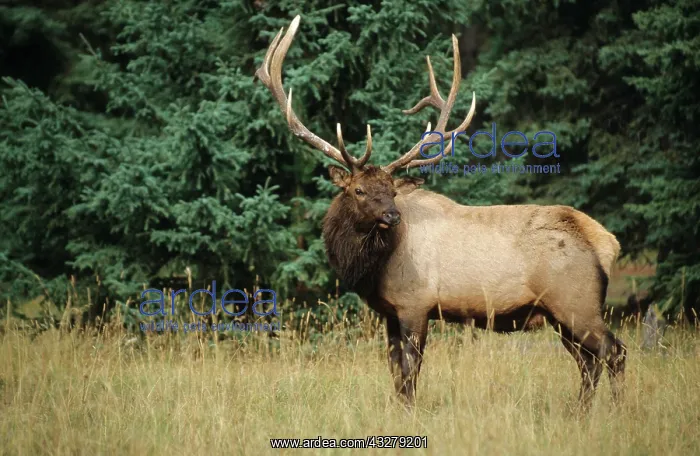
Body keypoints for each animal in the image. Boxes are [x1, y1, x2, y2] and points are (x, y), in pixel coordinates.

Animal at [254, 15, 627, 410]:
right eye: (359, 190)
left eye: (392, 191)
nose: (392, 217)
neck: (372, 268)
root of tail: (606, 242)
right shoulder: (390, 311)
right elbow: (394, 369)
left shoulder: (416, 304)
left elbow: (409, 370)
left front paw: (409, 411)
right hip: (560, 315)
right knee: (588, 361)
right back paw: (581, 411)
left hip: (576, 301)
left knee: (613, 352)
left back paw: (616, 410)